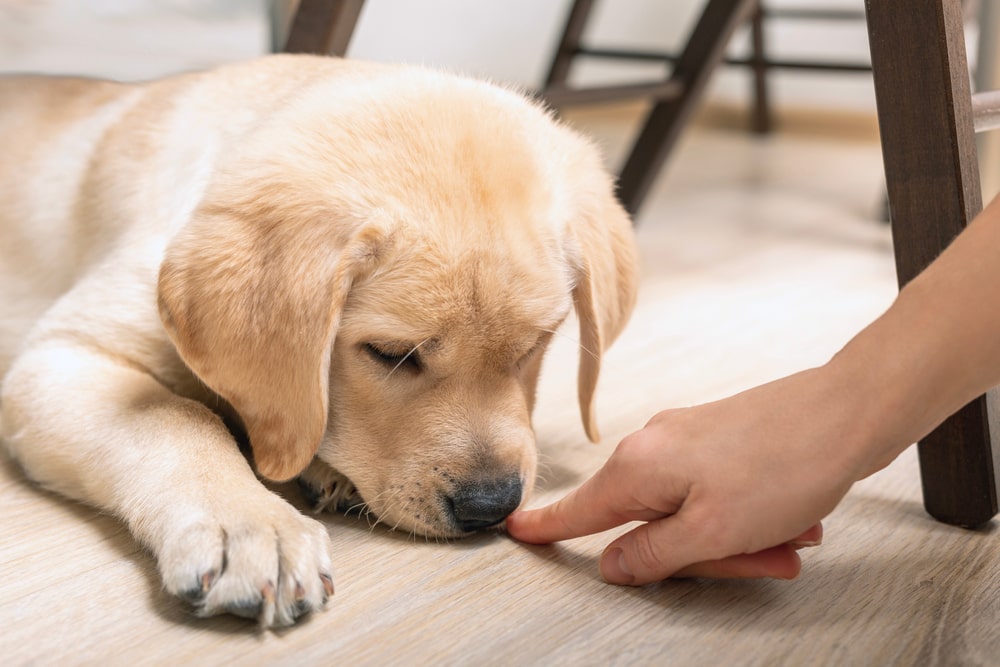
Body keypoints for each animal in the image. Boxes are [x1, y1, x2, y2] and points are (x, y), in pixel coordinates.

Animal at [0, 54, 636, 628]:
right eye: (390, 355)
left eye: (536, 345)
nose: (491, 507)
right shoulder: (62, 354)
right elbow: (178, 417)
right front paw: (250, 525)